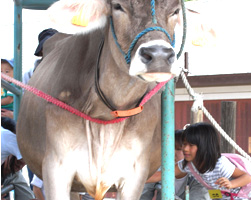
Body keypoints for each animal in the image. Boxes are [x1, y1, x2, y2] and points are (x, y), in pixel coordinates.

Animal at [17, 0, 181, 200]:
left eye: (176, 10)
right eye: (118, 6)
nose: (159, 55)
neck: (105, 115)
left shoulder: (135, 171)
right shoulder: (56, 165)